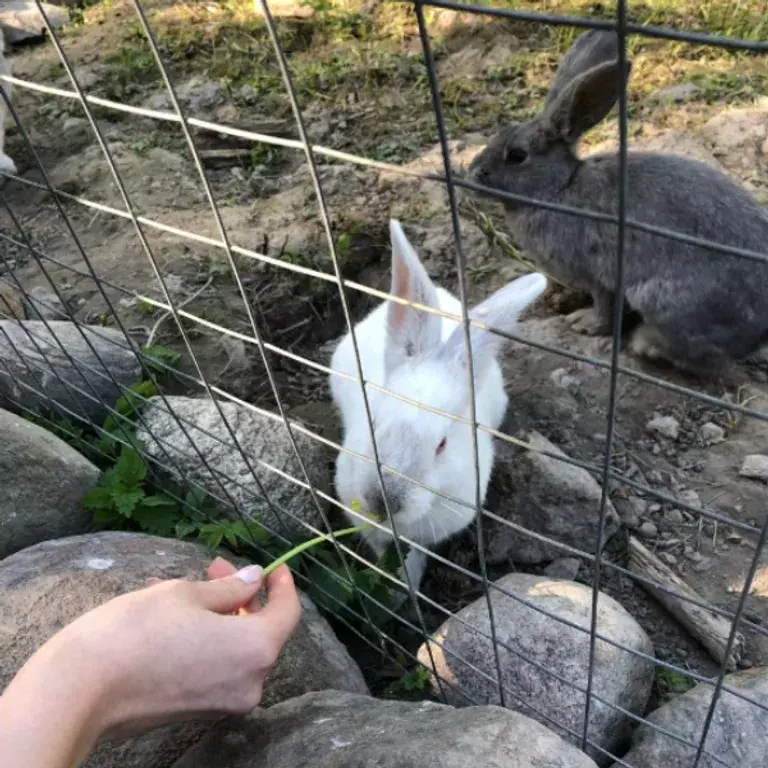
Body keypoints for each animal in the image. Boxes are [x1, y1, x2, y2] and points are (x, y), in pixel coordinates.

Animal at [468, 31, 768, 374]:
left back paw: (645, 344)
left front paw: (583, 324)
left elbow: (604, 308)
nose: (472, 174)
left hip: (663, 300)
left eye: (517, 156)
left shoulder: (600, 276)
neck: (559, 187)